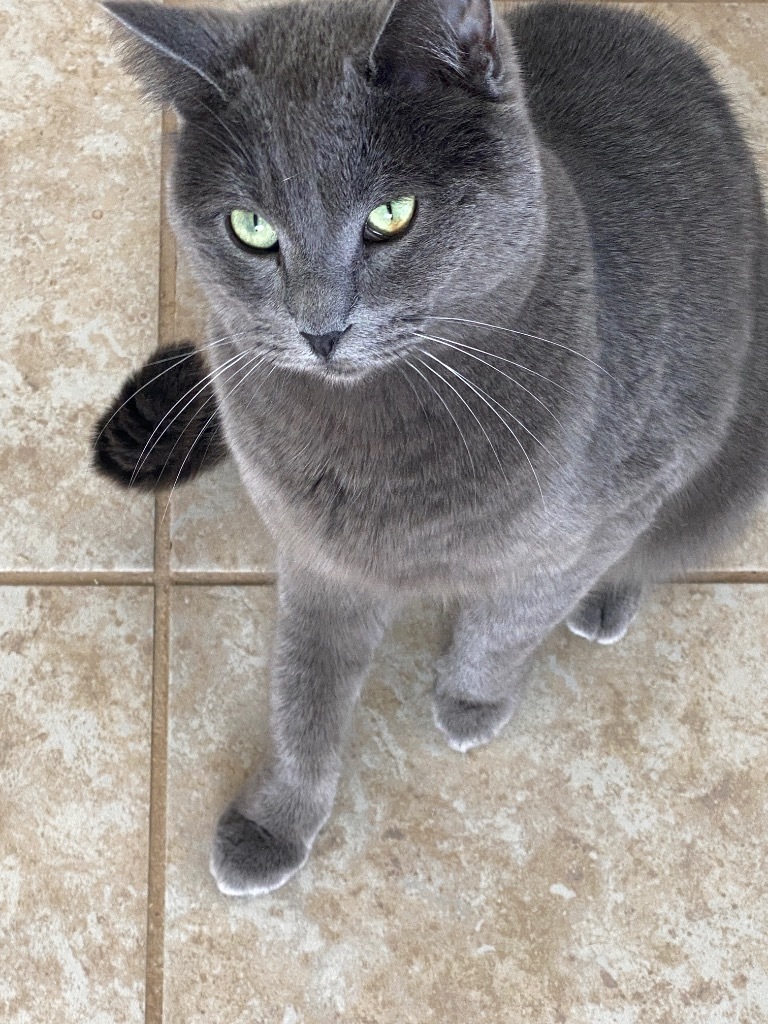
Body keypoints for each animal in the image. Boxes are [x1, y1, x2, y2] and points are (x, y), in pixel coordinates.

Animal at [102, 0, 768, 897]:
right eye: (251, 228)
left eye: (392, 215)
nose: (320, 329)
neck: (373, 451)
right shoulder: (319, 556)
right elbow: (303, 690)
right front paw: (275, 820)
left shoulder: (618, 497)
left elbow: (516, 615)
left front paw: (470, 702)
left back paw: (605, 601)